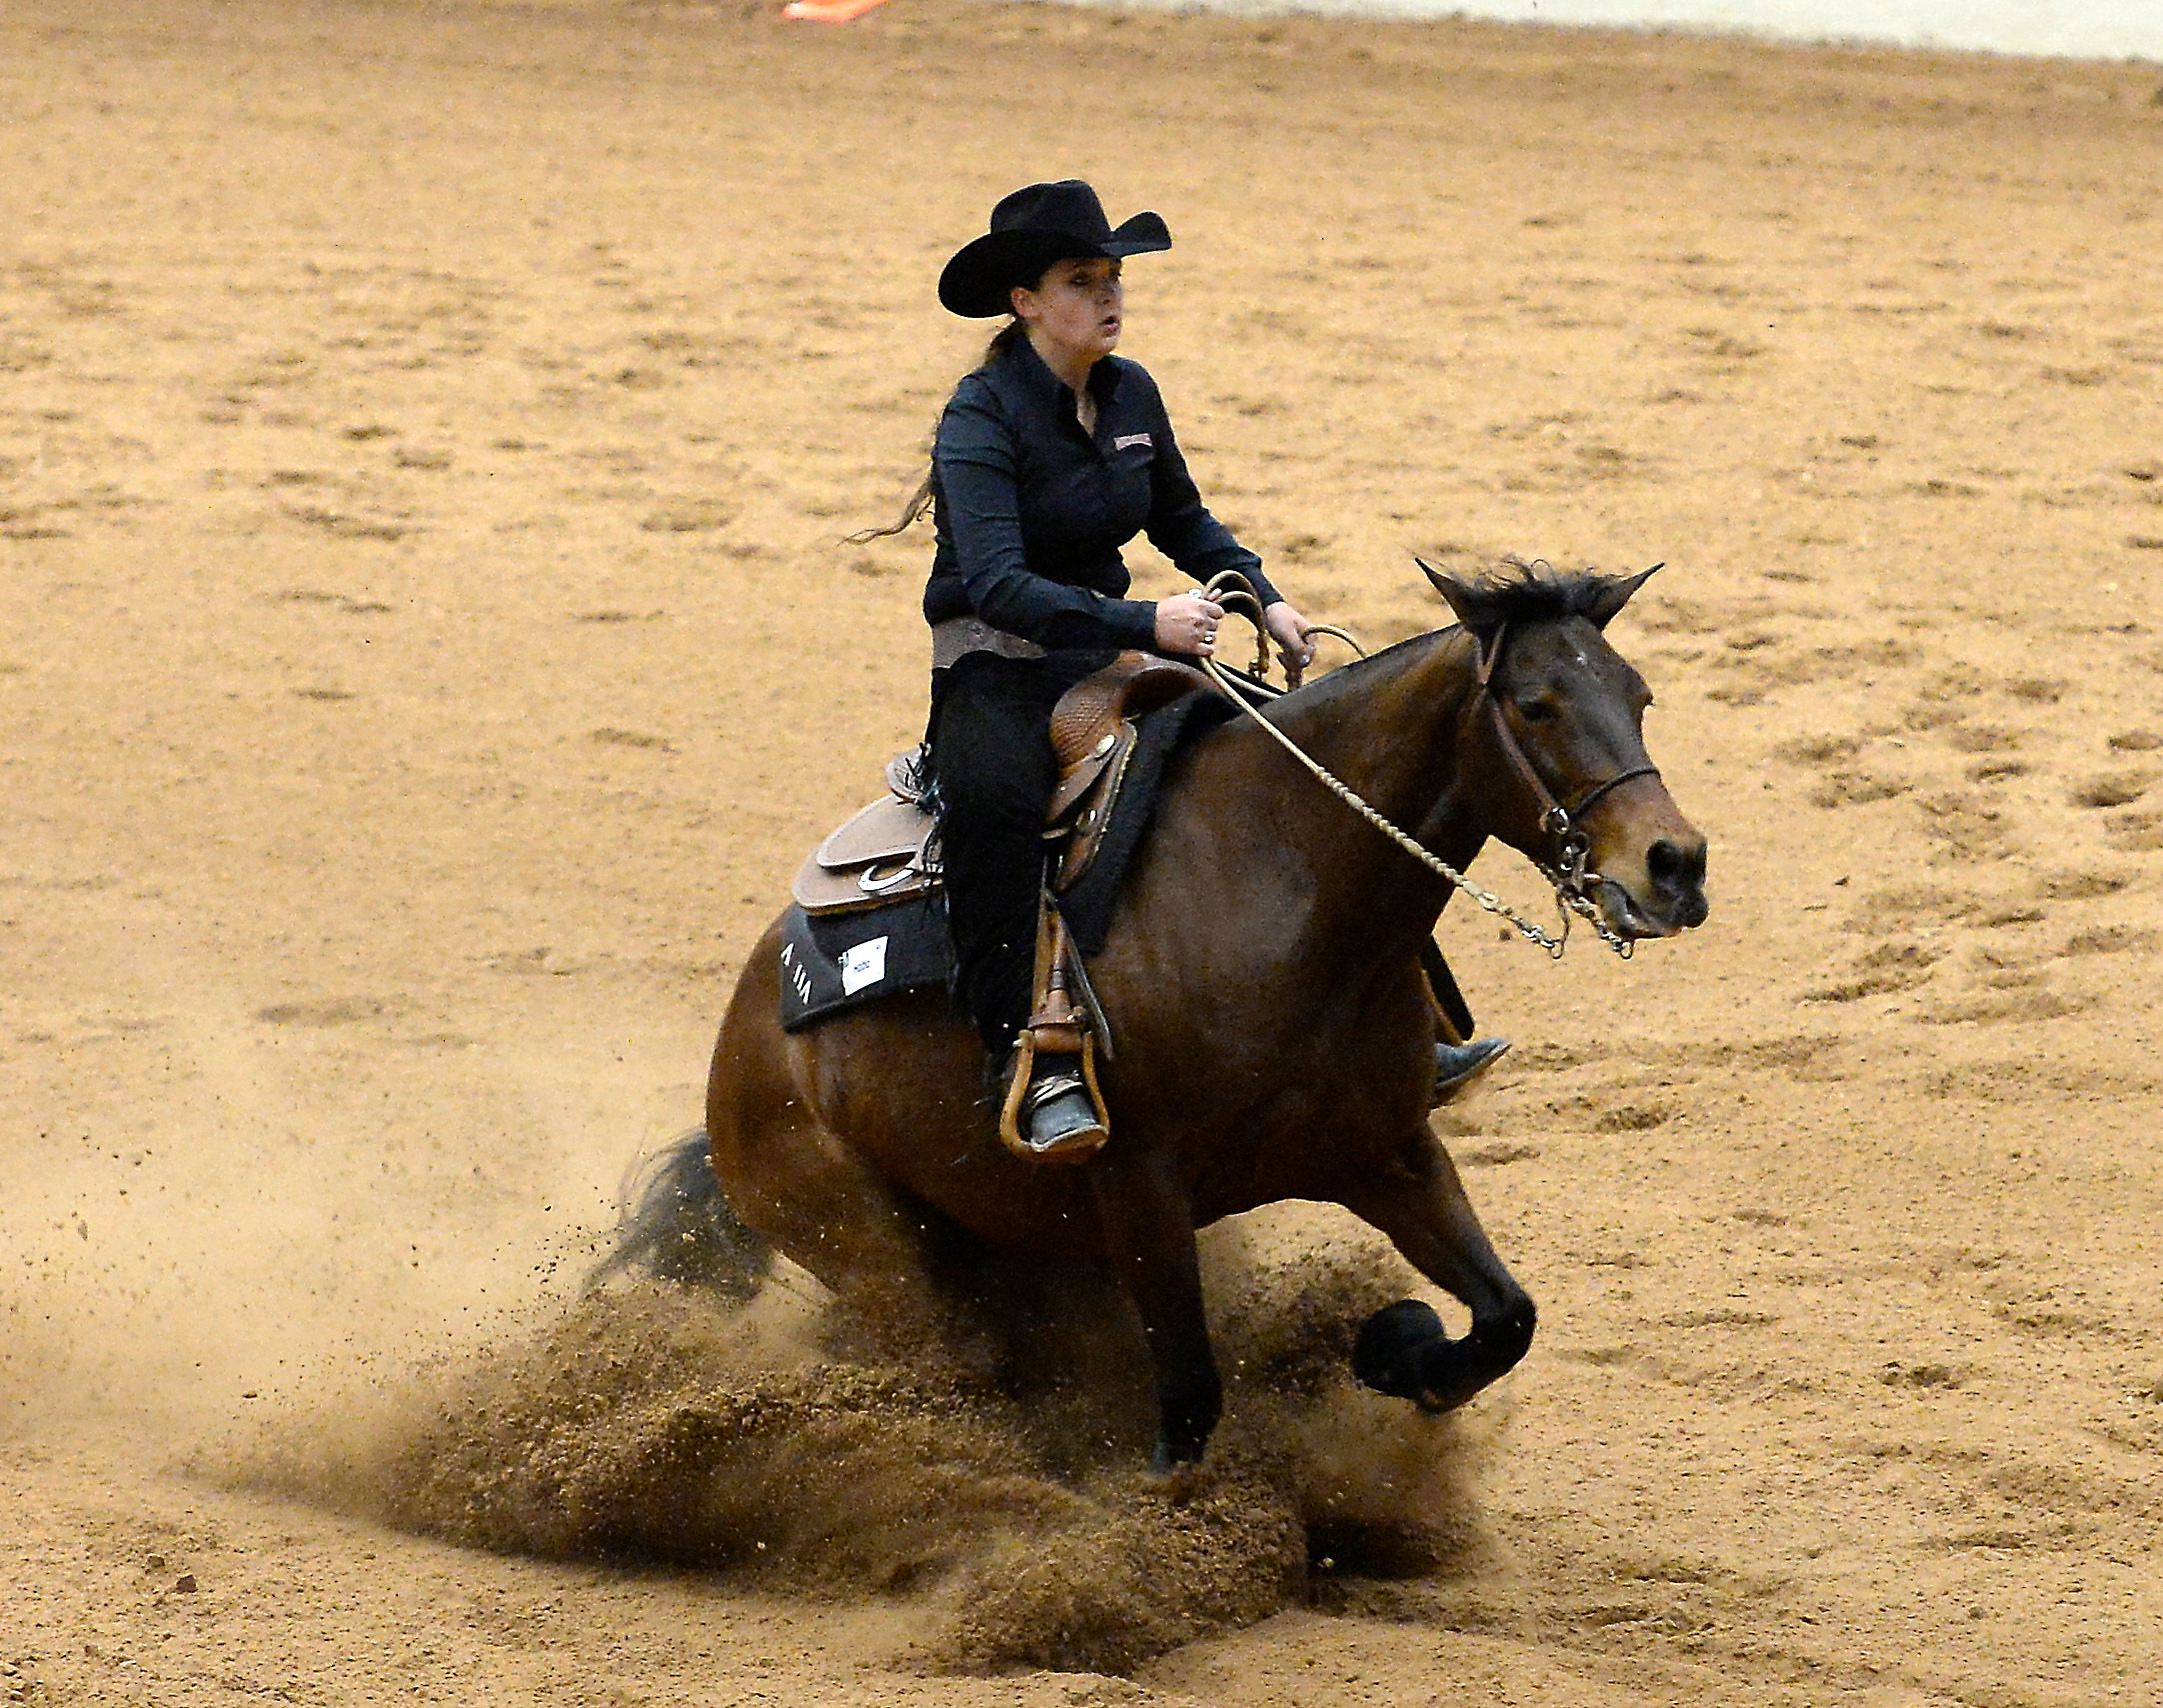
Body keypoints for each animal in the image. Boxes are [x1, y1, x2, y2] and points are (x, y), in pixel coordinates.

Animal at [609, 566, 1704, 1470]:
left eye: (1641, 697)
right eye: (1536, 703)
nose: (1676, 864)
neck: (1283, 887)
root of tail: (740, 1047)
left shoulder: (1384, 1149)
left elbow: (1507, 1317)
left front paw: (1398, 1351)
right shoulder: (1138, 1187)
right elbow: (1188, 1405)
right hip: (867, 1244)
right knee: (952, 1372)